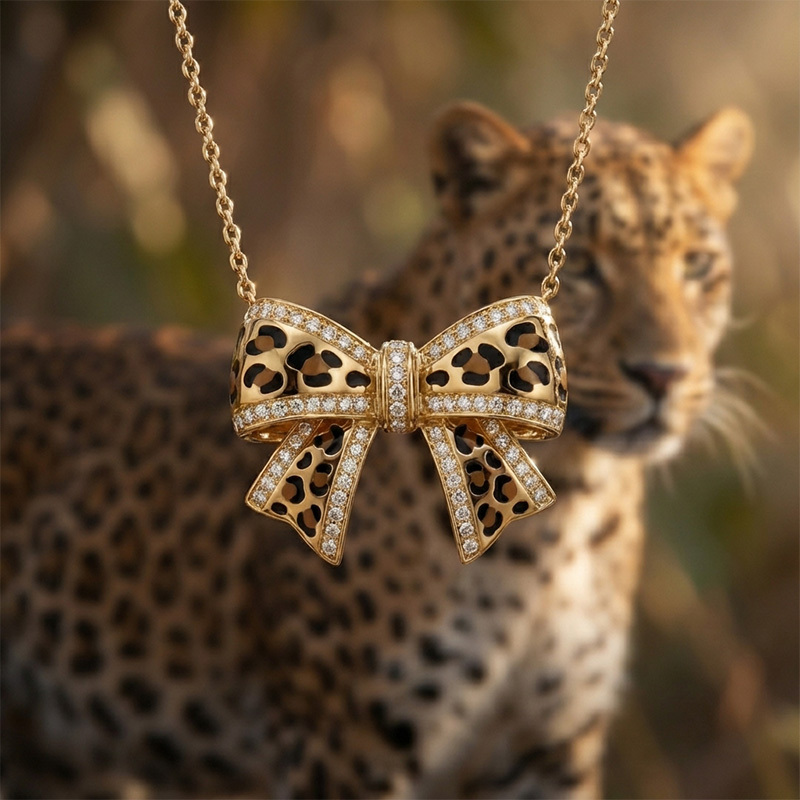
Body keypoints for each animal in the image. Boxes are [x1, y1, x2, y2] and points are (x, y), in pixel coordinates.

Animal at [0, 101, 753, 799]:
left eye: (699, 266)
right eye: (581, 269)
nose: (664, 375)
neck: (566, 515)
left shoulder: (550, 750)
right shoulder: (345, 746)